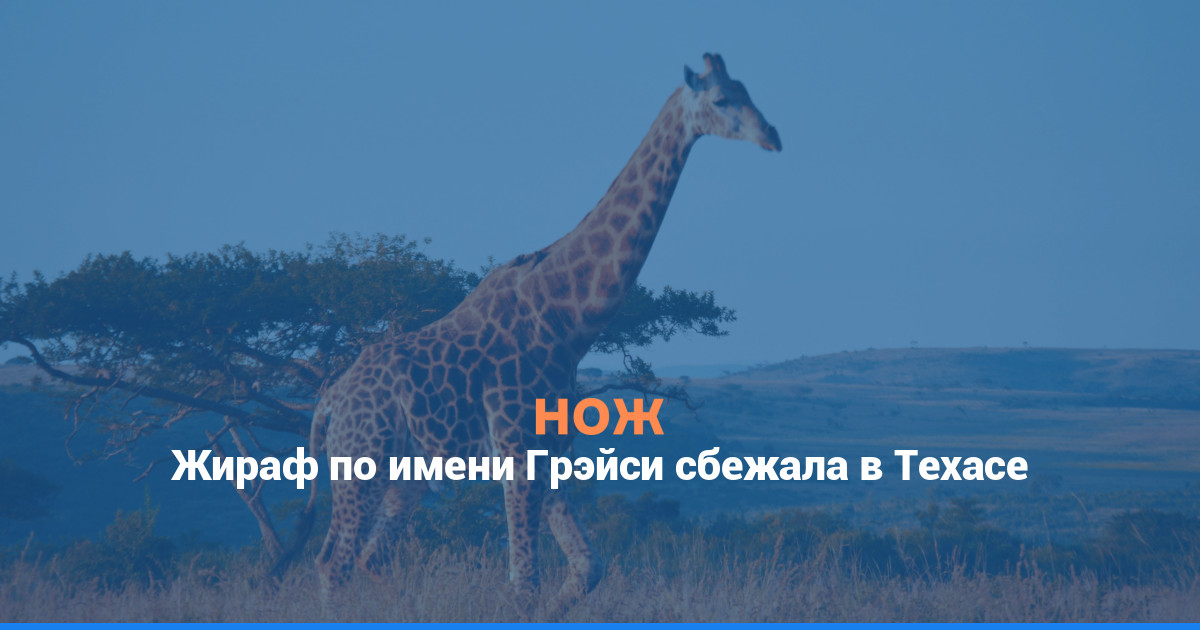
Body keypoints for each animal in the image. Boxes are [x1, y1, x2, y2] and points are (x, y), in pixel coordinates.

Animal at [311, 53, 781, 612]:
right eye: (721, 100)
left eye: (749, 91)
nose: (773, 135)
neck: (566, 320)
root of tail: (330, 400)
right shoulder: (516, 449)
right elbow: (525, 583)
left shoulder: (551, 451)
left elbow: (587, 568)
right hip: (361, 461)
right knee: (334, 565)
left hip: (409, 475)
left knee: (370, 559)